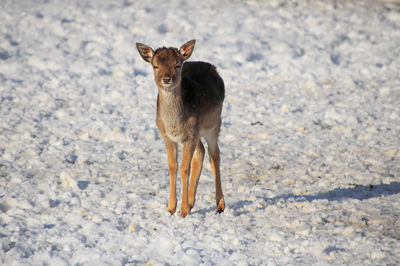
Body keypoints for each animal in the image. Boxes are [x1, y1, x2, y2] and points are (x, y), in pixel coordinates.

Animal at [136, 40, 225, 218]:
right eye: (155, 66)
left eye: (177, 65)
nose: (166, 79)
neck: (174, 124)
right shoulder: (167, 136)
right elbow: (173, 166)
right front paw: (171, 208)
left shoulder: (189, 136)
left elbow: (185, 168)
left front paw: (183, 211)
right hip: (198, 133)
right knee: (201, 152)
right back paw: (191, 202)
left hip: (214, 125)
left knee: (214, 155)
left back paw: (220, 205)